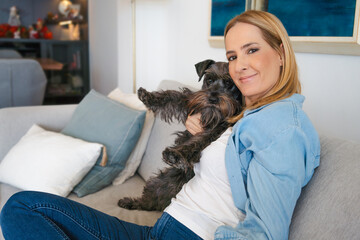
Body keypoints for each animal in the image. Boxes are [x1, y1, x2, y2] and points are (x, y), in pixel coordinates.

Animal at [117, 59, 242, 211]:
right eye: (209, 80)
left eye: (230, 84)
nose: (213, 98)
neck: (210, 114)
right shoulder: (190, 102)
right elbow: (173, 95)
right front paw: (148, 96)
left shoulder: (216, 130)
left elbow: (197, 141)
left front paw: (175, 154)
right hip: (164, 180)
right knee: (150, 200)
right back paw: (130, 202)